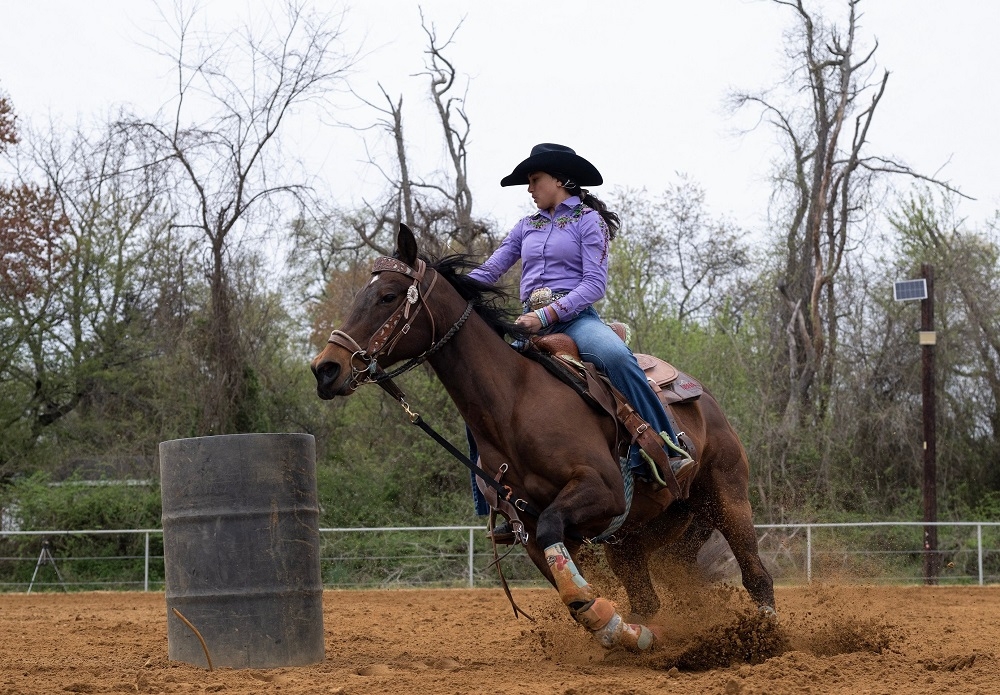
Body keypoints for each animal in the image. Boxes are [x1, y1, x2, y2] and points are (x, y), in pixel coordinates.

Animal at [312, 224, 772, 652]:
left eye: (388, 295)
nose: (325, 368)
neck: (515, 402)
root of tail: (703, 397)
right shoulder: (528, 528)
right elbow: (564, 579)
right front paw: (619, 629)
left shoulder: (601, 490)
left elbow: (566, 555)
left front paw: (604, 619)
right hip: (640, 534)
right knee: (649, 598)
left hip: (726, 496)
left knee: (757, 576)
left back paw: (762, 639)